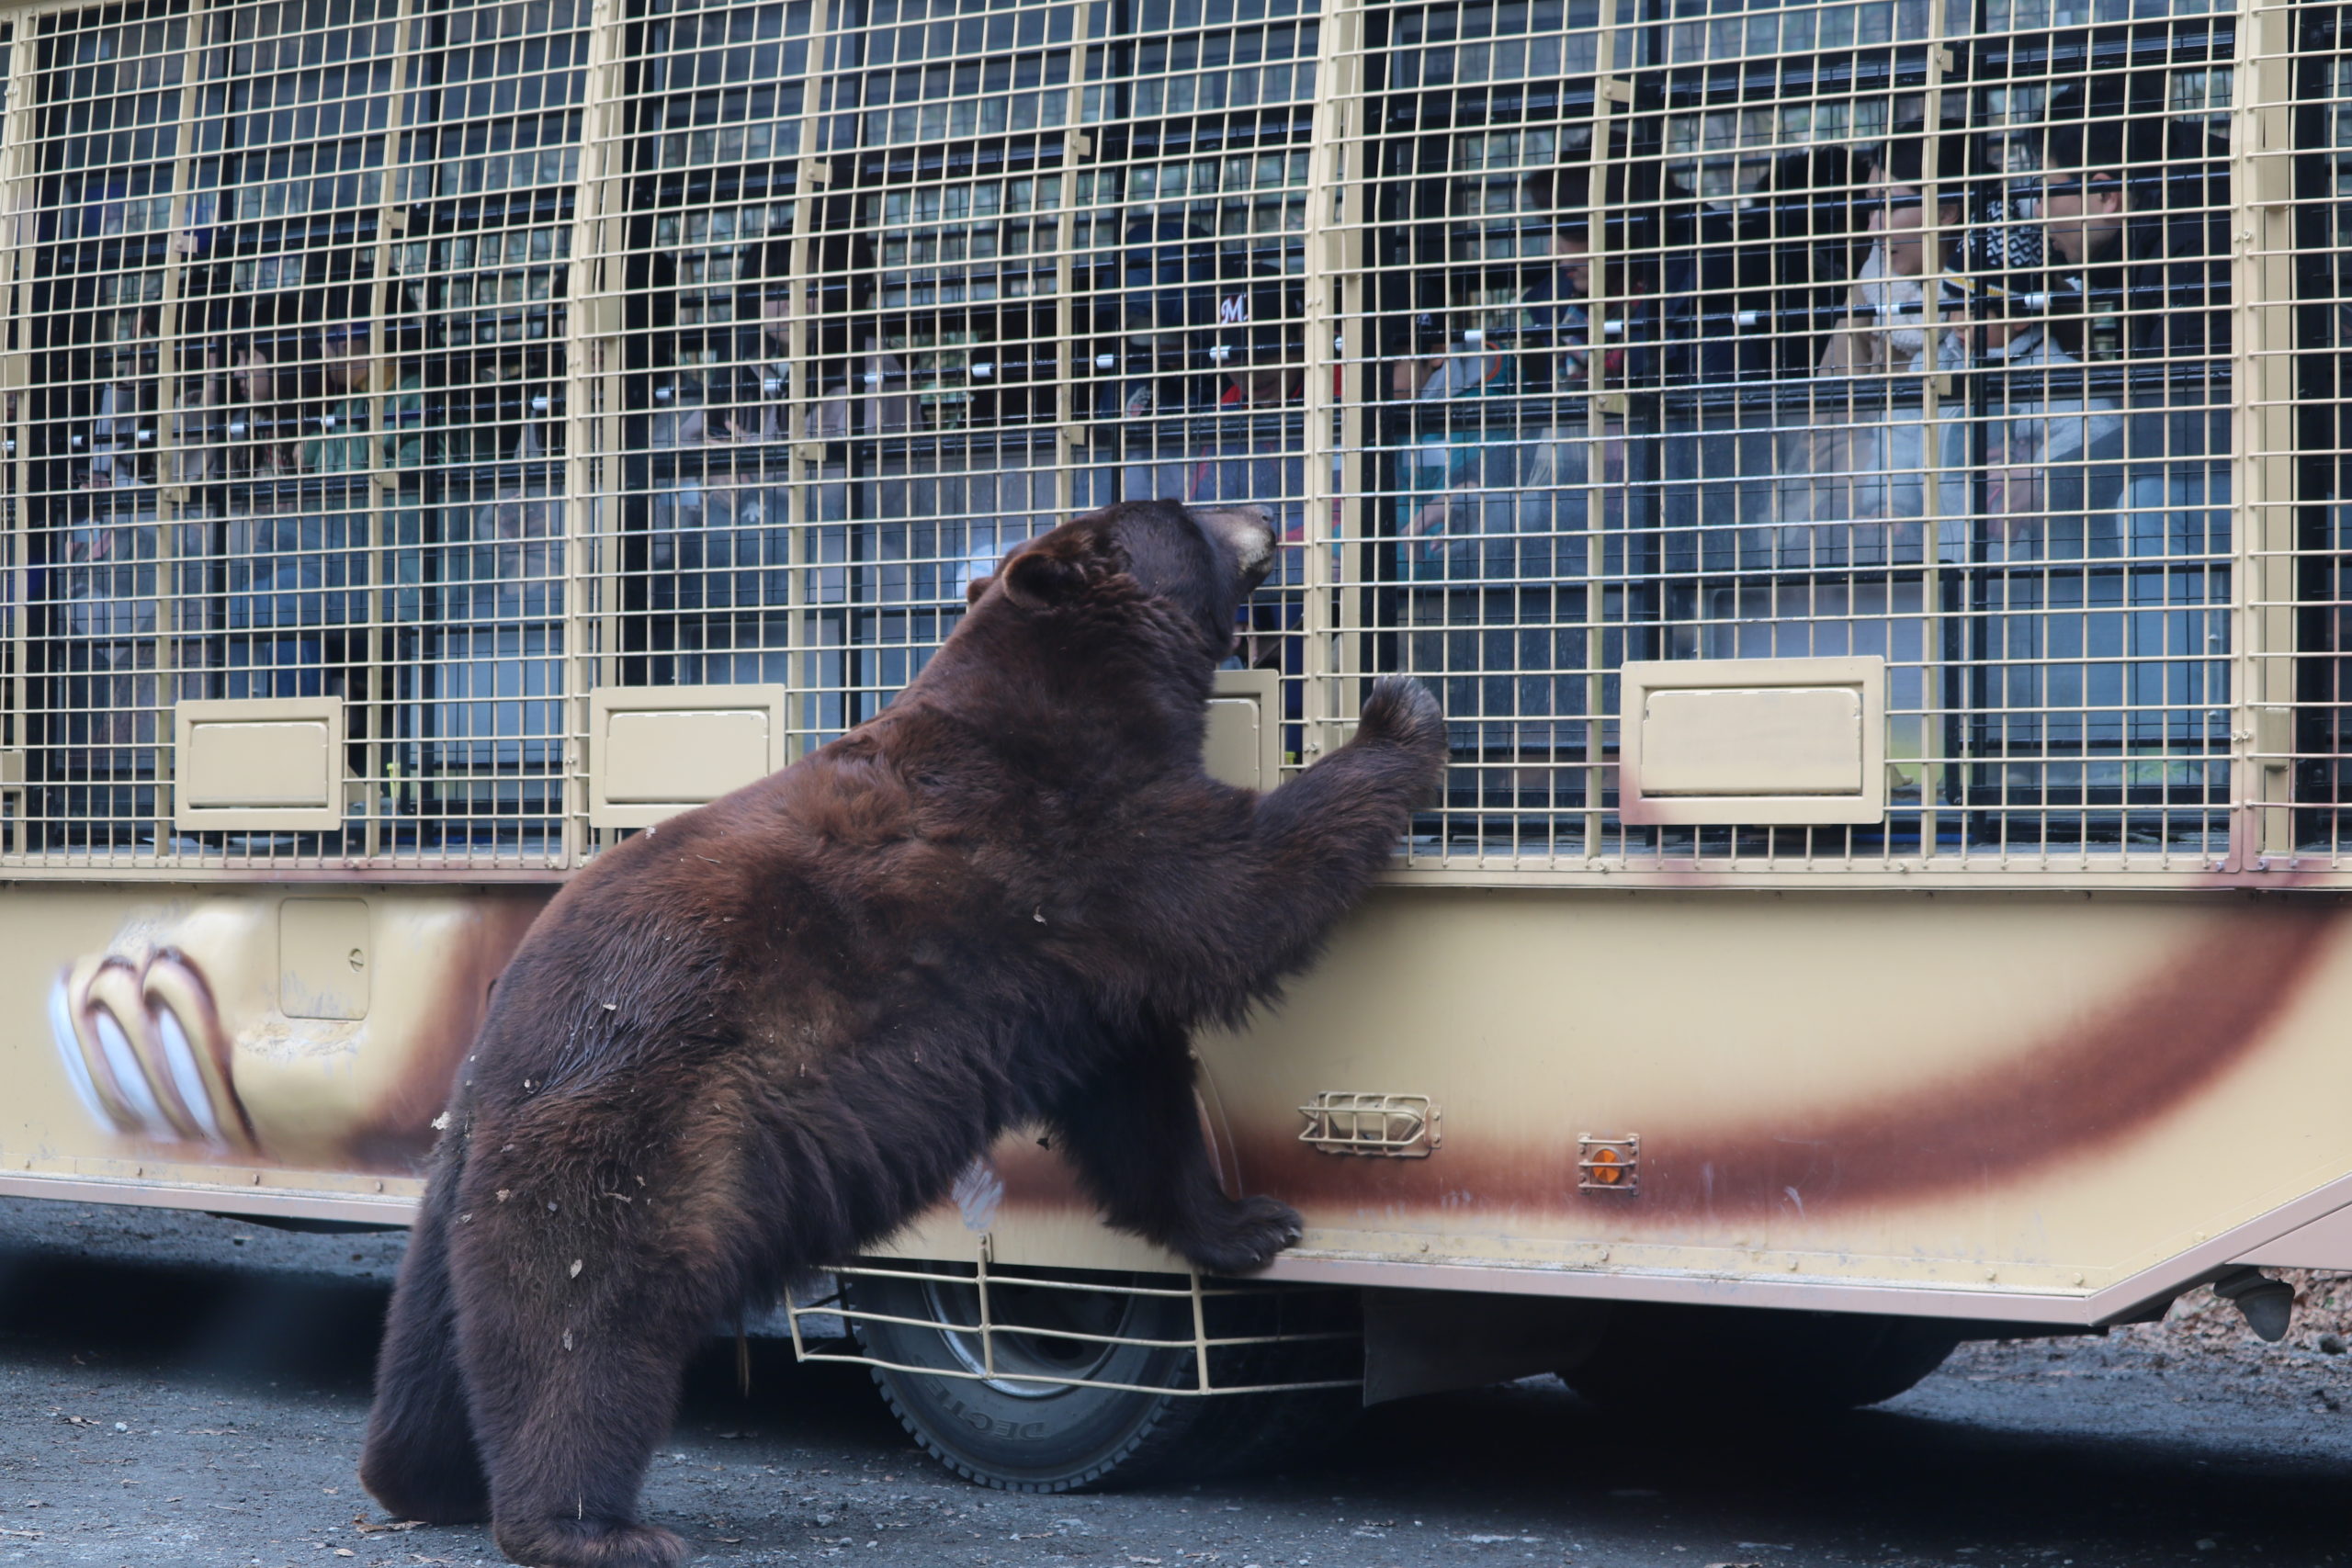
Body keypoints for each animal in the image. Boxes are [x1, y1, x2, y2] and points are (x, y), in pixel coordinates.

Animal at [362, 502, 1448, 1568]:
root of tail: (504, 1037)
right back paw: (588, 1524)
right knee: (583, 1317)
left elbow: (1137, 1100)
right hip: (640, 1123)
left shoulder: (1066, 964)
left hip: (469, 1177)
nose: (1264, 515)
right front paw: (1399, 713)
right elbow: (1237, 889)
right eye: (1182, 515)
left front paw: (1241, 1222)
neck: (1083, 692)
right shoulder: (1070, 834)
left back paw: (420, 1478)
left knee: (437, 1329)